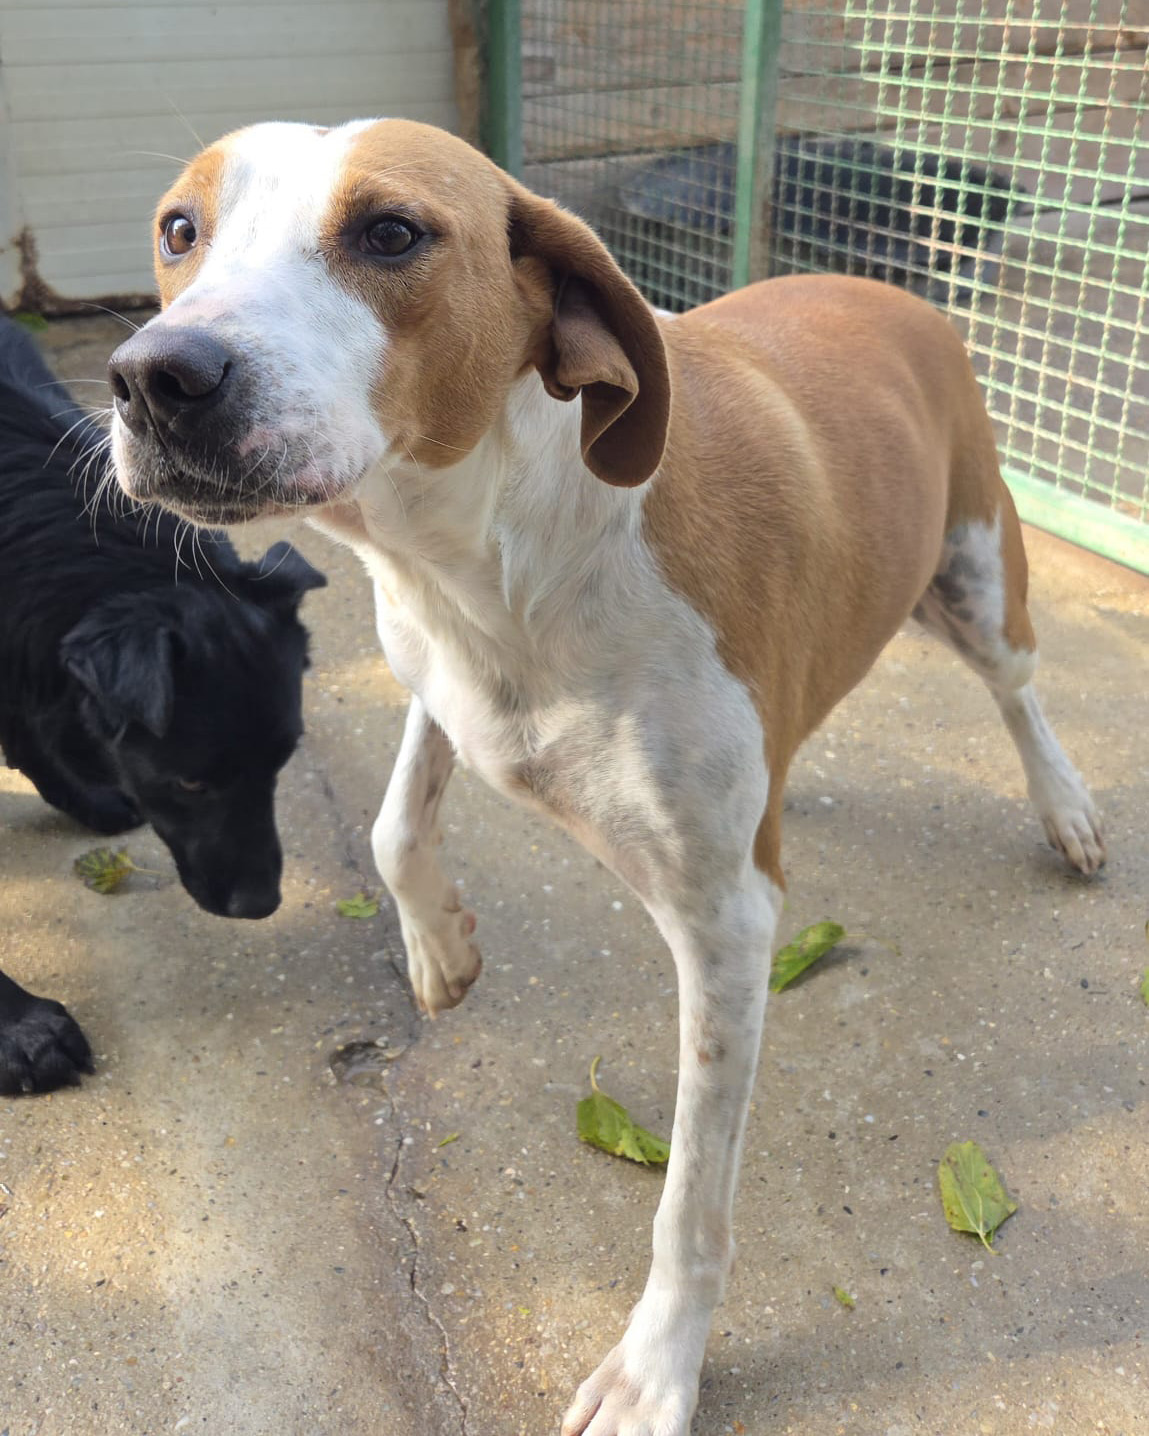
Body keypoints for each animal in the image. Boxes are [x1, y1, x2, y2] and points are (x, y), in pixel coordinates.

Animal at [103, 119, 1104, 1436]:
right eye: (180, 228)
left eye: (391, 232)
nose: (153, 375)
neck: (502, 565)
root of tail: (887, 284)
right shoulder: (440, 674)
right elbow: (392, 821)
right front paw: (440, 947)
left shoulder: (726, 927)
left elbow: (690, 1205)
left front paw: (656, 1366)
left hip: (978, 579)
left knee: (1020, 690)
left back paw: (1067, 806)